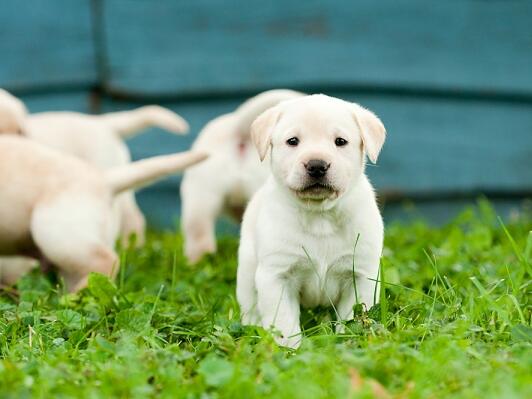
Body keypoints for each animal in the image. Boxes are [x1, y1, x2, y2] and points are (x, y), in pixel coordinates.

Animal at [238, 94, 386, 350]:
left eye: (340, 141)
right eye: (293, 141)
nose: (317, 165)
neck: (320, 216)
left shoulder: (361, 275)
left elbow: (353, 317)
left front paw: (349, 343)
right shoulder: (276, 275)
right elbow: (284, 322)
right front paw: (289, 350)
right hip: (247, 270)